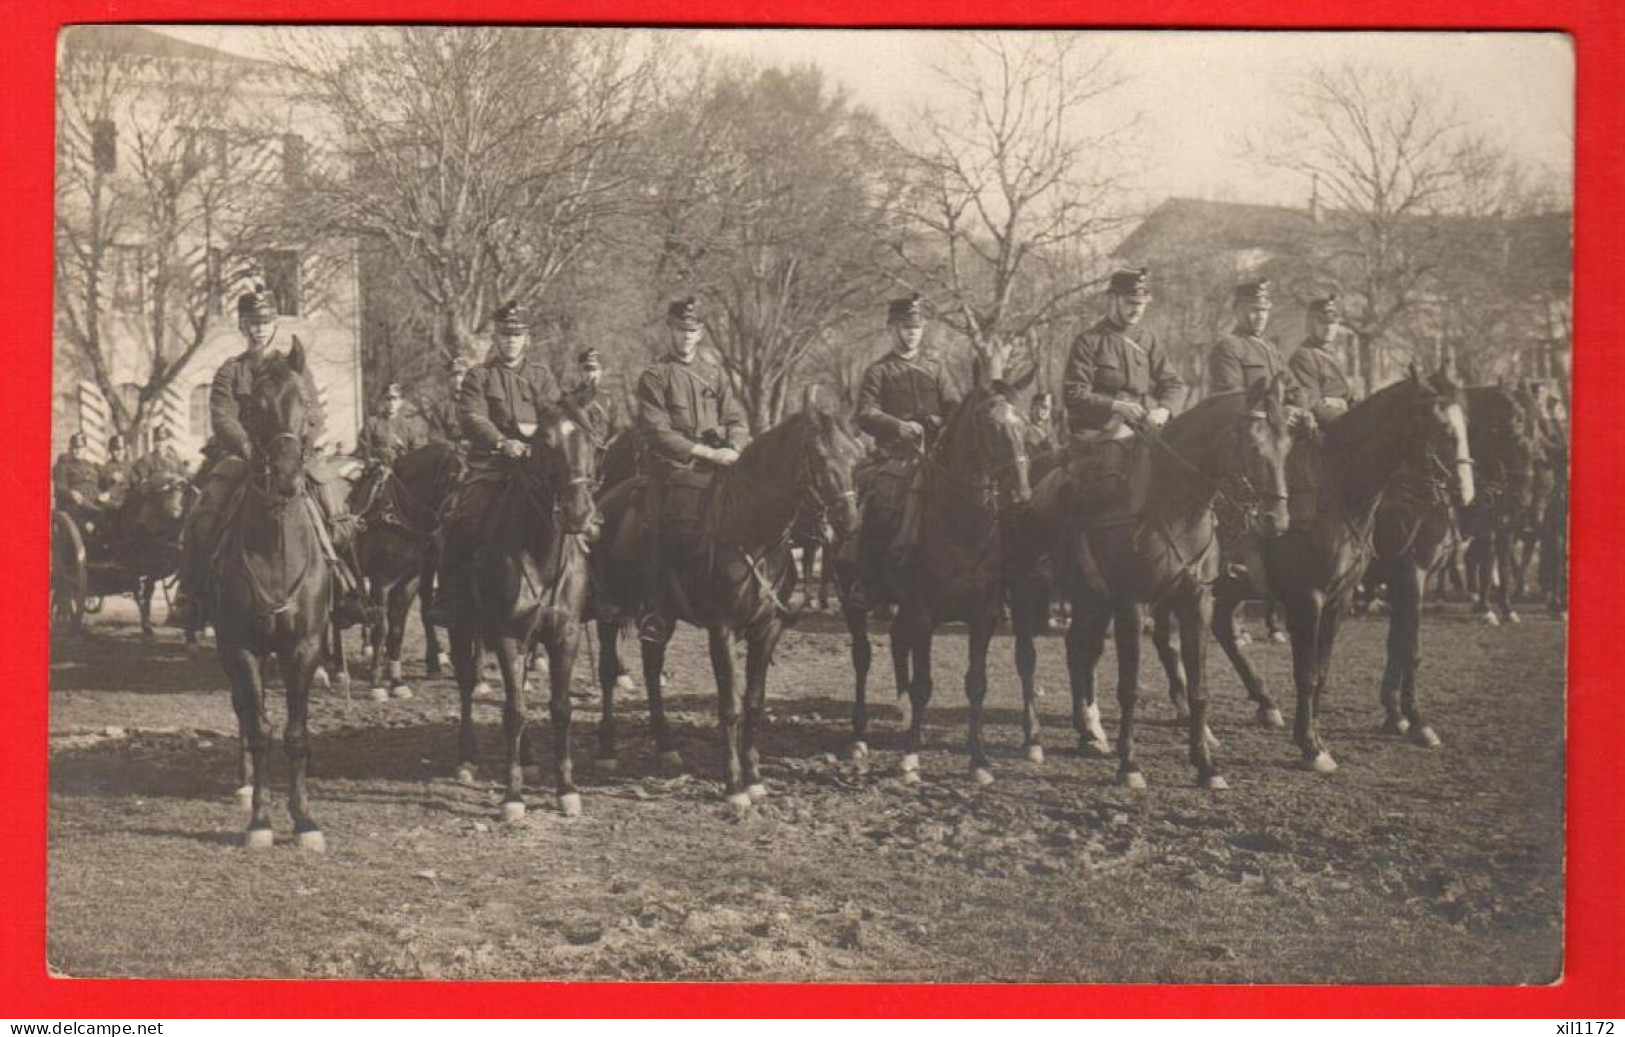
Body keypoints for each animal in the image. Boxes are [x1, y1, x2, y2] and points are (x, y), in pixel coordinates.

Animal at [445, 406, 598, 819]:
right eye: (544, 444)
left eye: (590, 442)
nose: (576, 512)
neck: (538, 551)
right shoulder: (506, 635)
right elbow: (513, 711)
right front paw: (513, 797)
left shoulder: (565, 635)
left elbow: (560, 708)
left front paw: (567, 789)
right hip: (461, 624)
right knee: (467, 684)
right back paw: (466, 757)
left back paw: (528, 756)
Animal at [588, 406, 864, 812]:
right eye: (820, 457)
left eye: (856, 457)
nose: (850, 521)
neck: (750, 527)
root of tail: (606, 498)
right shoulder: (722, 629)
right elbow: (730, 706)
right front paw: (733, 785)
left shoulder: (766, 629)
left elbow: (754, 703)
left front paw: (754, 779)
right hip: (610, 609)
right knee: (608, 671)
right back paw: (606, 750)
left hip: (660, 616)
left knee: (652, 668)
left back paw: (666, 747)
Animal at [1053, 377, 1293, 793]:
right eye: (1252, 445)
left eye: (1288, 445)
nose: (1276, 520)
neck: (1172, 507)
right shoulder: (1132, 605)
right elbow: (1129, 688)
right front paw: (1129, 764)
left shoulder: (1195, 601)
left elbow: (1199, 688)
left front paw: (1206, 765)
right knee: (1079, 651)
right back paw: (1087, 731)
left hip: (1094, 600)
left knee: (1081, 649)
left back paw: (1089, 730)